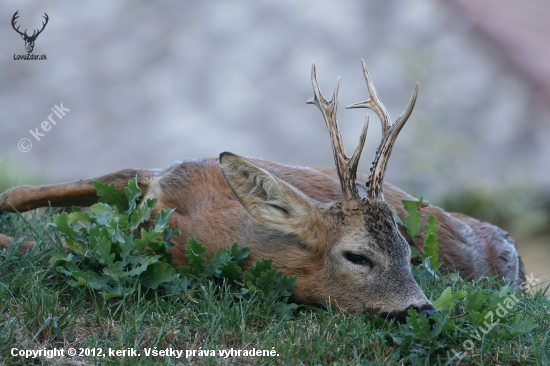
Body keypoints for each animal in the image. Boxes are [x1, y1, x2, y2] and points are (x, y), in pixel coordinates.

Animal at [1, 60, 528, 320]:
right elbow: (28, 192)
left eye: (409, 255)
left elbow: (52, 248)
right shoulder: (160, 172)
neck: (198, 217)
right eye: (358, 256)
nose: (423, 311)